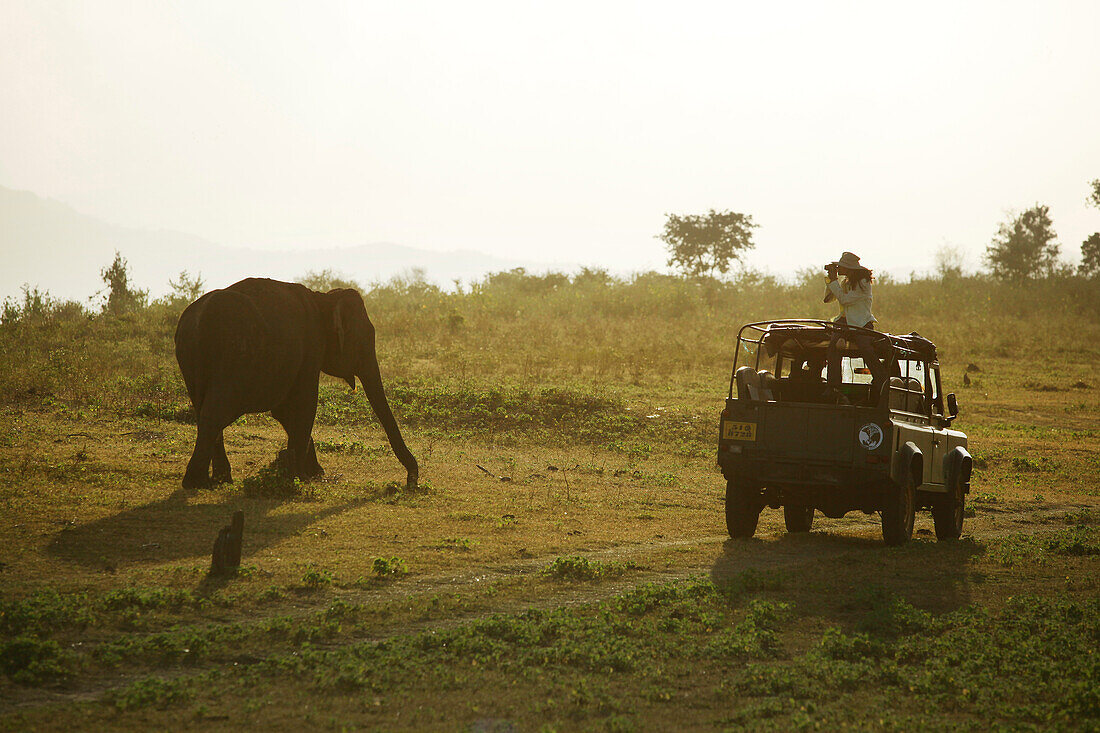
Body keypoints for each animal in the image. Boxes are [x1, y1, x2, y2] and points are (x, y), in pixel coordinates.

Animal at [176, 277, 415, 488]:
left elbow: (283, 411)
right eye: (365, 337)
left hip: (190, 361)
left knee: (202, 409)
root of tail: (197, 321)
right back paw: (198, 482)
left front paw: (312, 472)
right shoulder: (311, 347)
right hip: (232, 357)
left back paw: (218, 480)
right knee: (214, 412)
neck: (322, 298)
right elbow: (305, 404)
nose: (411, 481)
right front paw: (300, 477)